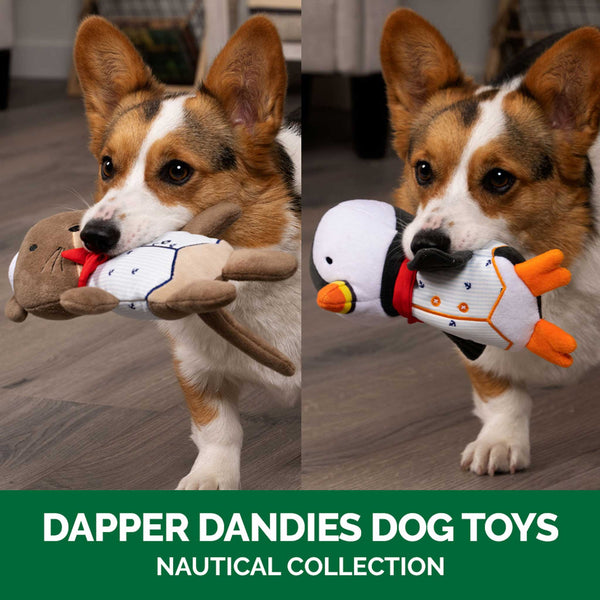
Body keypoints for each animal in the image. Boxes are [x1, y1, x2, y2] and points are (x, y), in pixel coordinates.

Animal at [74, 16, 300, 490]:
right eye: (107, 166)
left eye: (177, 171)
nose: (93, 236)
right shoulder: (194, 366)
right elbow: (218, 427)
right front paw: (210, 478)